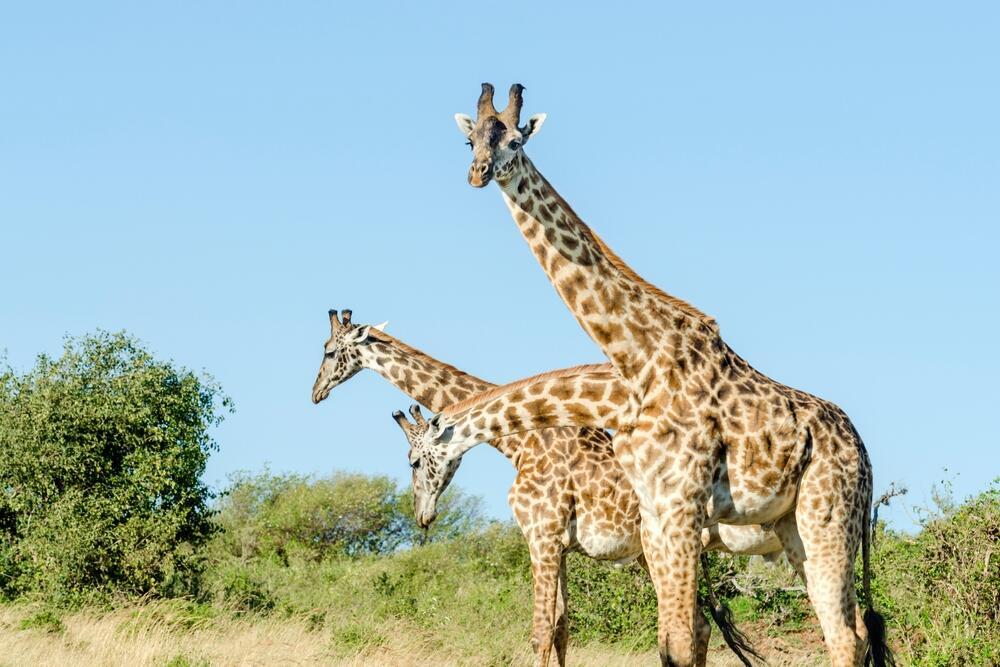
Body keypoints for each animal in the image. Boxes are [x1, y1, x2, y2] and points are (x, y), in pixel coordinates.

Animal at [312, 310, 764, 667]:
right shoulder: (559, 545)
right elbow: (562, 629)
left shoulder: (539, 535)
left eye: (329, 351)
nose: (316, 392)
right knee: (701, 624)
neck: (521, 440)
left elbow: (541, 631)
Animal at [454, 83, 892, 667]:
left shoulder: (679, 505)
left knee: (845, 635)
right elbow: (670, 642)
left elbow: (682, 641)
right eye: (471, 138)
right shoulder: (656, 514)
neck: (638, 357)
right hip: (793, 526)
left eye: (516, 140)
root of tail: (864, 454)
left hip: (829, 515)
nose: (480, 172)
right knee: (850, 630)